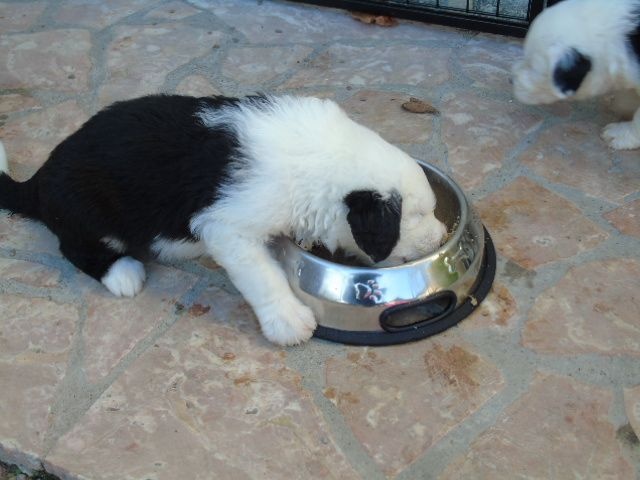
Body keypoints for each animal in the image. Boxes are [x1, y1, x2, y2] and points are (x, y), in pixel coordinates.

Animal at [0, 94, 447, 345]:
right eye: (415, 216)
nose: (442, 237)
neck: (322, 158)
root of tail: (39, 179)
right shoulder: (229, 229)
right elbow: (263, 276)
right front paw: (288, 321)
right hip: (86, 211)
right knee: (75, 247)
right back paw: (122, 272)